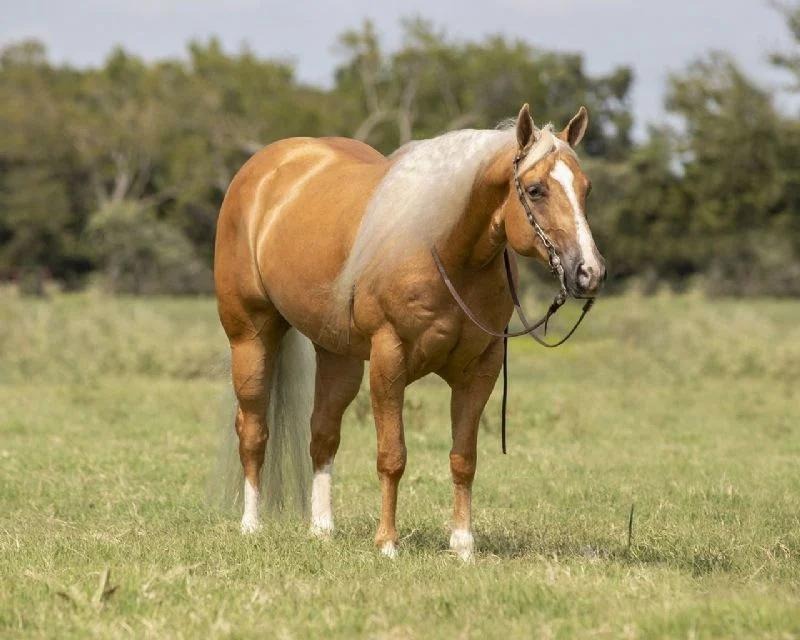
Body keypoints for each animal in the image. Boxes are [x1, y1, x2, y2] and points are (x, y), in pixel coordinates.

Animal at [213, 103, 605, 560]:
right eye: (536, 189)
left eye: (586, 188)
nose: (589, 272)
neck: (445, 250)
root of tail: (264, 167)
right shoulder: (389, 360)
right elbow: (392, 455)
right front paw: (387, 542)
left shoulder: (481, 369)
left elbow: (463, 457)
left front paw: (463, 545)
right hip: (251, 336)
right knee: (253, 430)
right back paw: (251, 525)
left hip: (339, 354)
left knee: (323, 433)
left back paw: (322, 528)